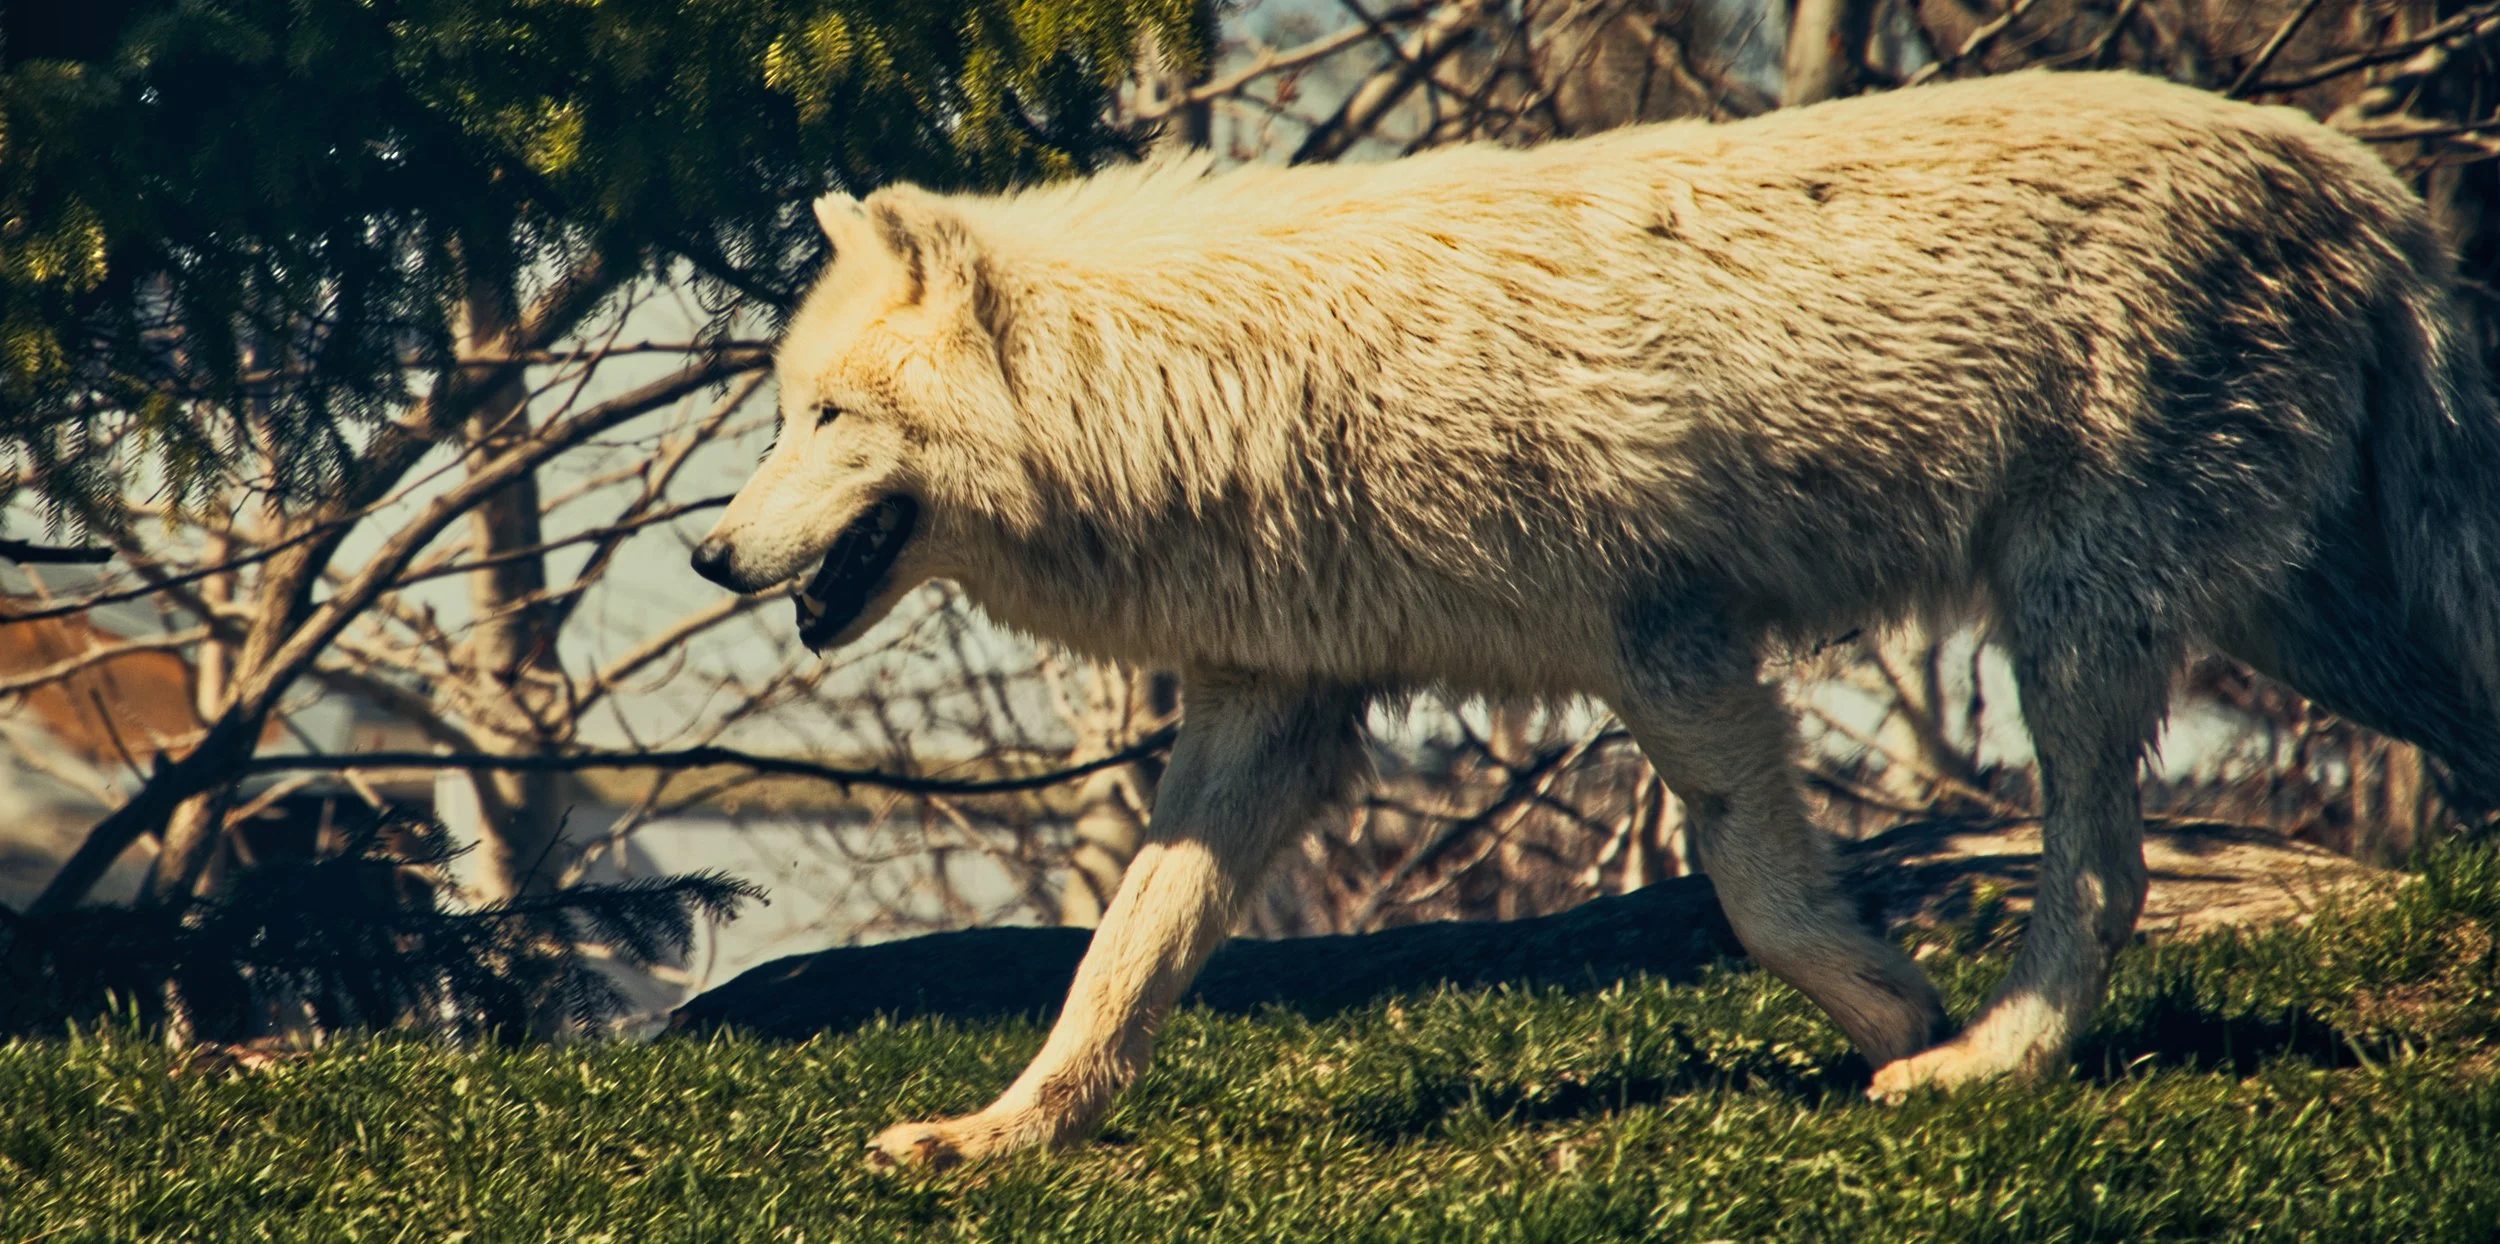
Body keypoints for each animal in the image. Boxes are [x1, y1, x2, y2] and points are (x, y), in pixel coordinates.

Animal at [692, 70, 2500, 1167]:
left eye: (828, 418)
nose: (710, 558)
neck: (1225, 383)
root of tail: (2360, 176)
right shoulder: (1271, 708)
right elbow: (1119, 961)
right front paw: (999, 1136)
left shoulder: (1667, 640)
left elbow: (1755, 887)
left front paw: (1893, 1014)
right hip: (2306, 625)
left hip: (2076, 625)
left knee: (2108, 873)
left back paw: (1987, 1061)